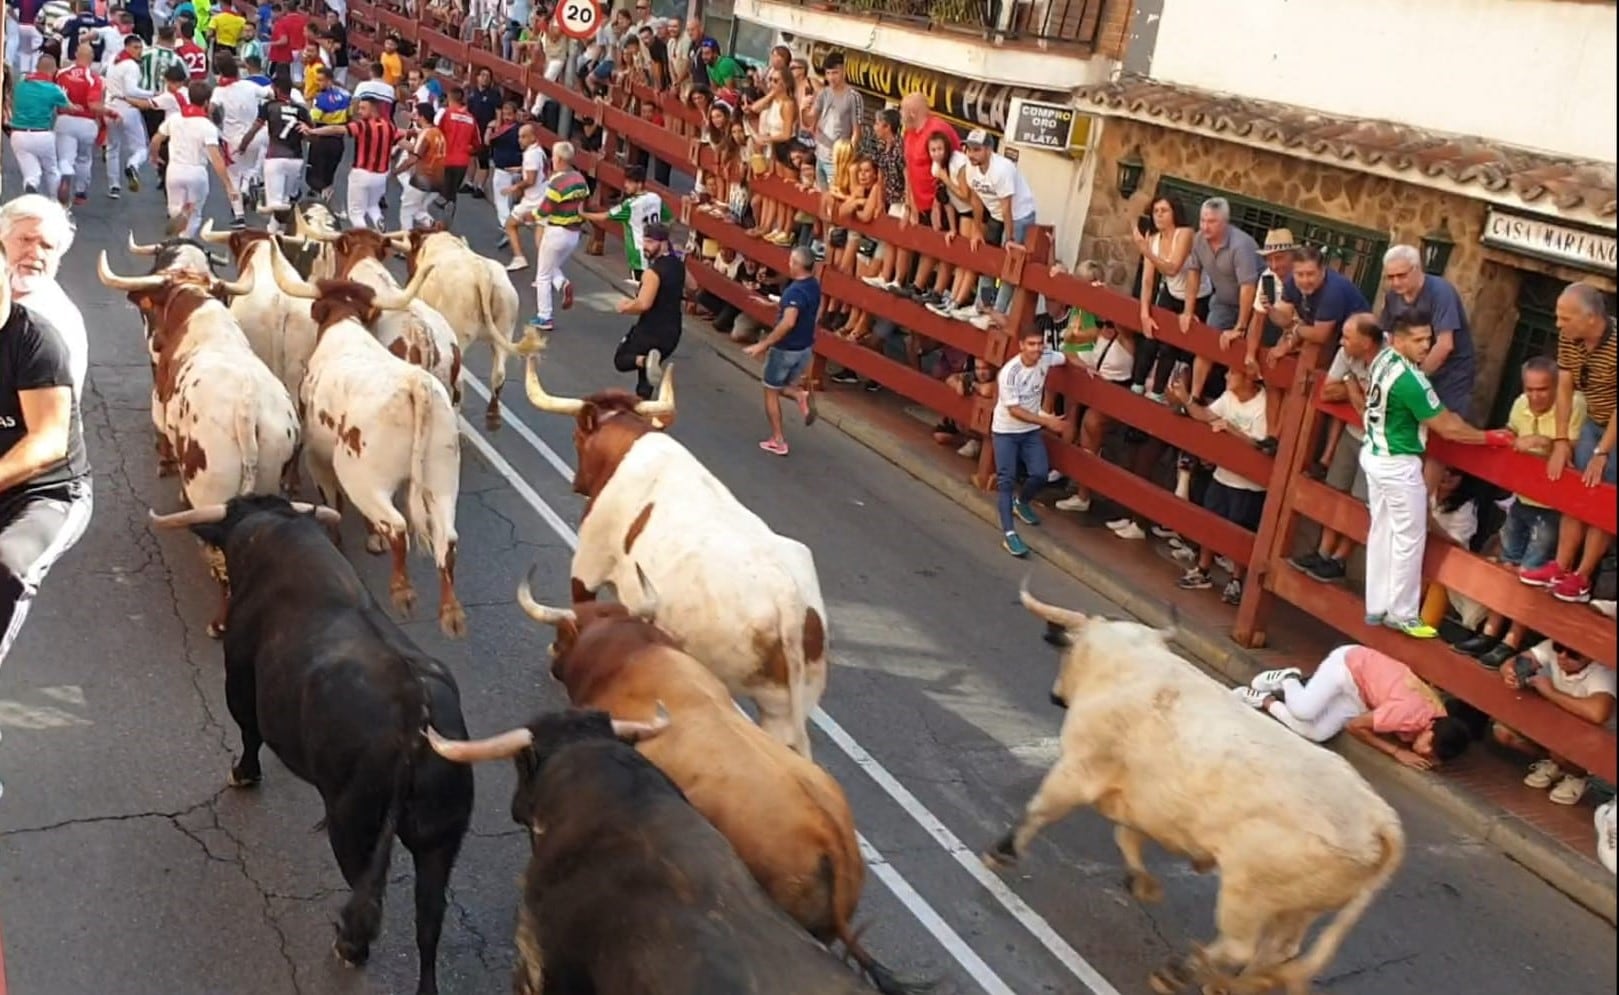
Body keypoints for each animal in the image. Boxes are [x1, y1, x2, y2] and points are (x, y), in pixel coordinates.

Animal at [271, 260, 469, 643]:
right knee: (447, 540)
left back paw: (403, 592)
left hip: (362, 477)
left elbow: (332, 502)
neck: (345, 325)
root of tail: (416, 384)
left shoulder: (319, 457)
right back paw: (451, 613)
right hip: (442, 480)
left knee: (397, 526)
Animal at [524, 362, 828, 760]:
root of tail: (788, 594)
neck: (630, 447)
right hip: (785, 708)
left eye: (577, 436)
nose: (578, 484)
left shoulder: (587, 568)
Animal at [984, 579, 1405, 995]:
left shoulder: (1078, 770)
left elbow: (1041, 808)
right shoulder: (1140, 802)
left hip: (1248, 895)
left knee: (1240, 946)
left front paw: (1003, 851)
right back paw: (1228, 984)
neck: (1127, 666)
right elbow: (1126, 837)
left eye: (1068, 651)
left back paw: (1179, 972)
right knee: (1278, 951)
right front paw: (1142, 883)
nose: (1055, 696)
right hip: (1298, 909)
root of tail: (1378, 819)